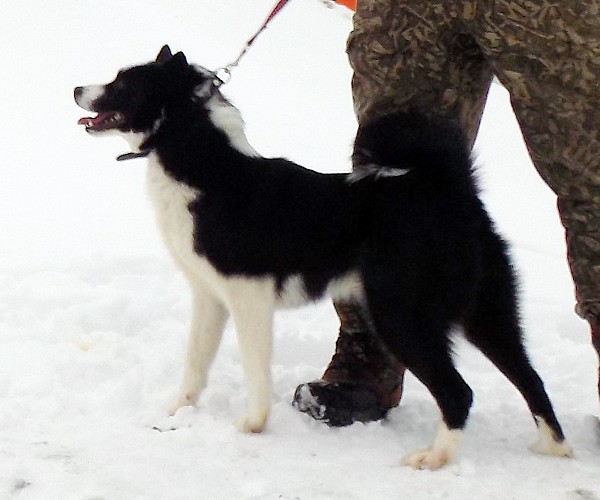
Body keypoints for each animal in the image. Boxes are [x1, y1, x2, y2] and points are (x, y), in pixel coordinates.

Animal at [74, 45, 572, 468]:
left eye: (124, 84)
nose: (76, 89)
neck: (203, 164)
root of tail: (447, 190)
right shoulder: (209, 297)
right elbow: (195, 362)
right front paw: (178, 411)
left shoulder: (249, 295)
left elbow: (256, 368)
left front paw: (253, 424)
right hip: (488, 315)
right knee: (532, 379)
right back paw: (554, 448)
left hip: (400, 316)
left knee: (458, 392)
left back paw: (435, 458)